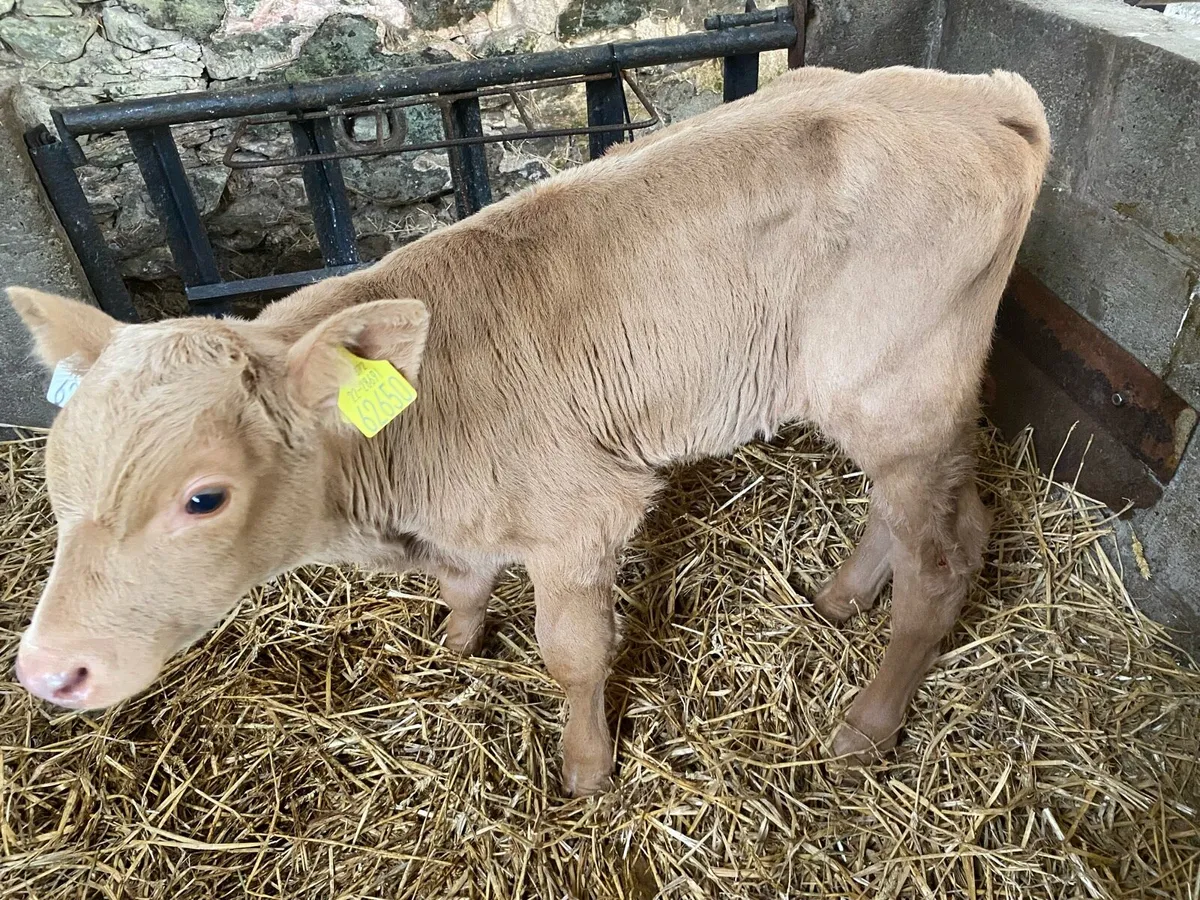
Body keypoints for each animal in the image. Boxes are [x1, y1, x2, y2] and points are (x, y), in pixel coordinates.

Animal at [7, 64, 1049, 797]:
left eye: (204, 497)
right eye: (56, 479)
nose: (49, 672)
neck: (396, 471)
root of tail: (981, 97)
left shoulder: (581, 517)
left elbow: (571, 654)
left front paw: (586, 769)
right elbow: (466, 581)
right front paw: (459, 639)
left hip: (897, 391)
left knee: (947, 553)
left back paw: (866, 726)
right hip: (893, 403)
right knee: (923, 517)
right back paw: (840, 597)